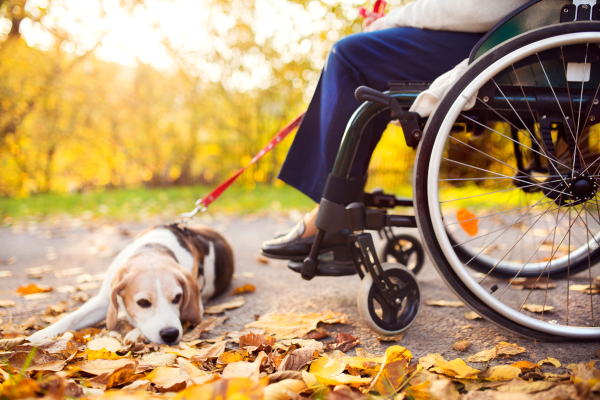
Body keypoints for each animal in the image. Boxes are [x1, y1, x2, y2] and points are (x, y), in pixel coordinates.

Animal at [28, 225, 234, 344]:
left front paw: (137, 334)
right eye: (143, 302)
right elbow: (71, 317)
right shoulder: (104, 300)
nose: (170, 335)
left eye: (178, 298)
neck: (152, 250)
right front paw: (40, 335)